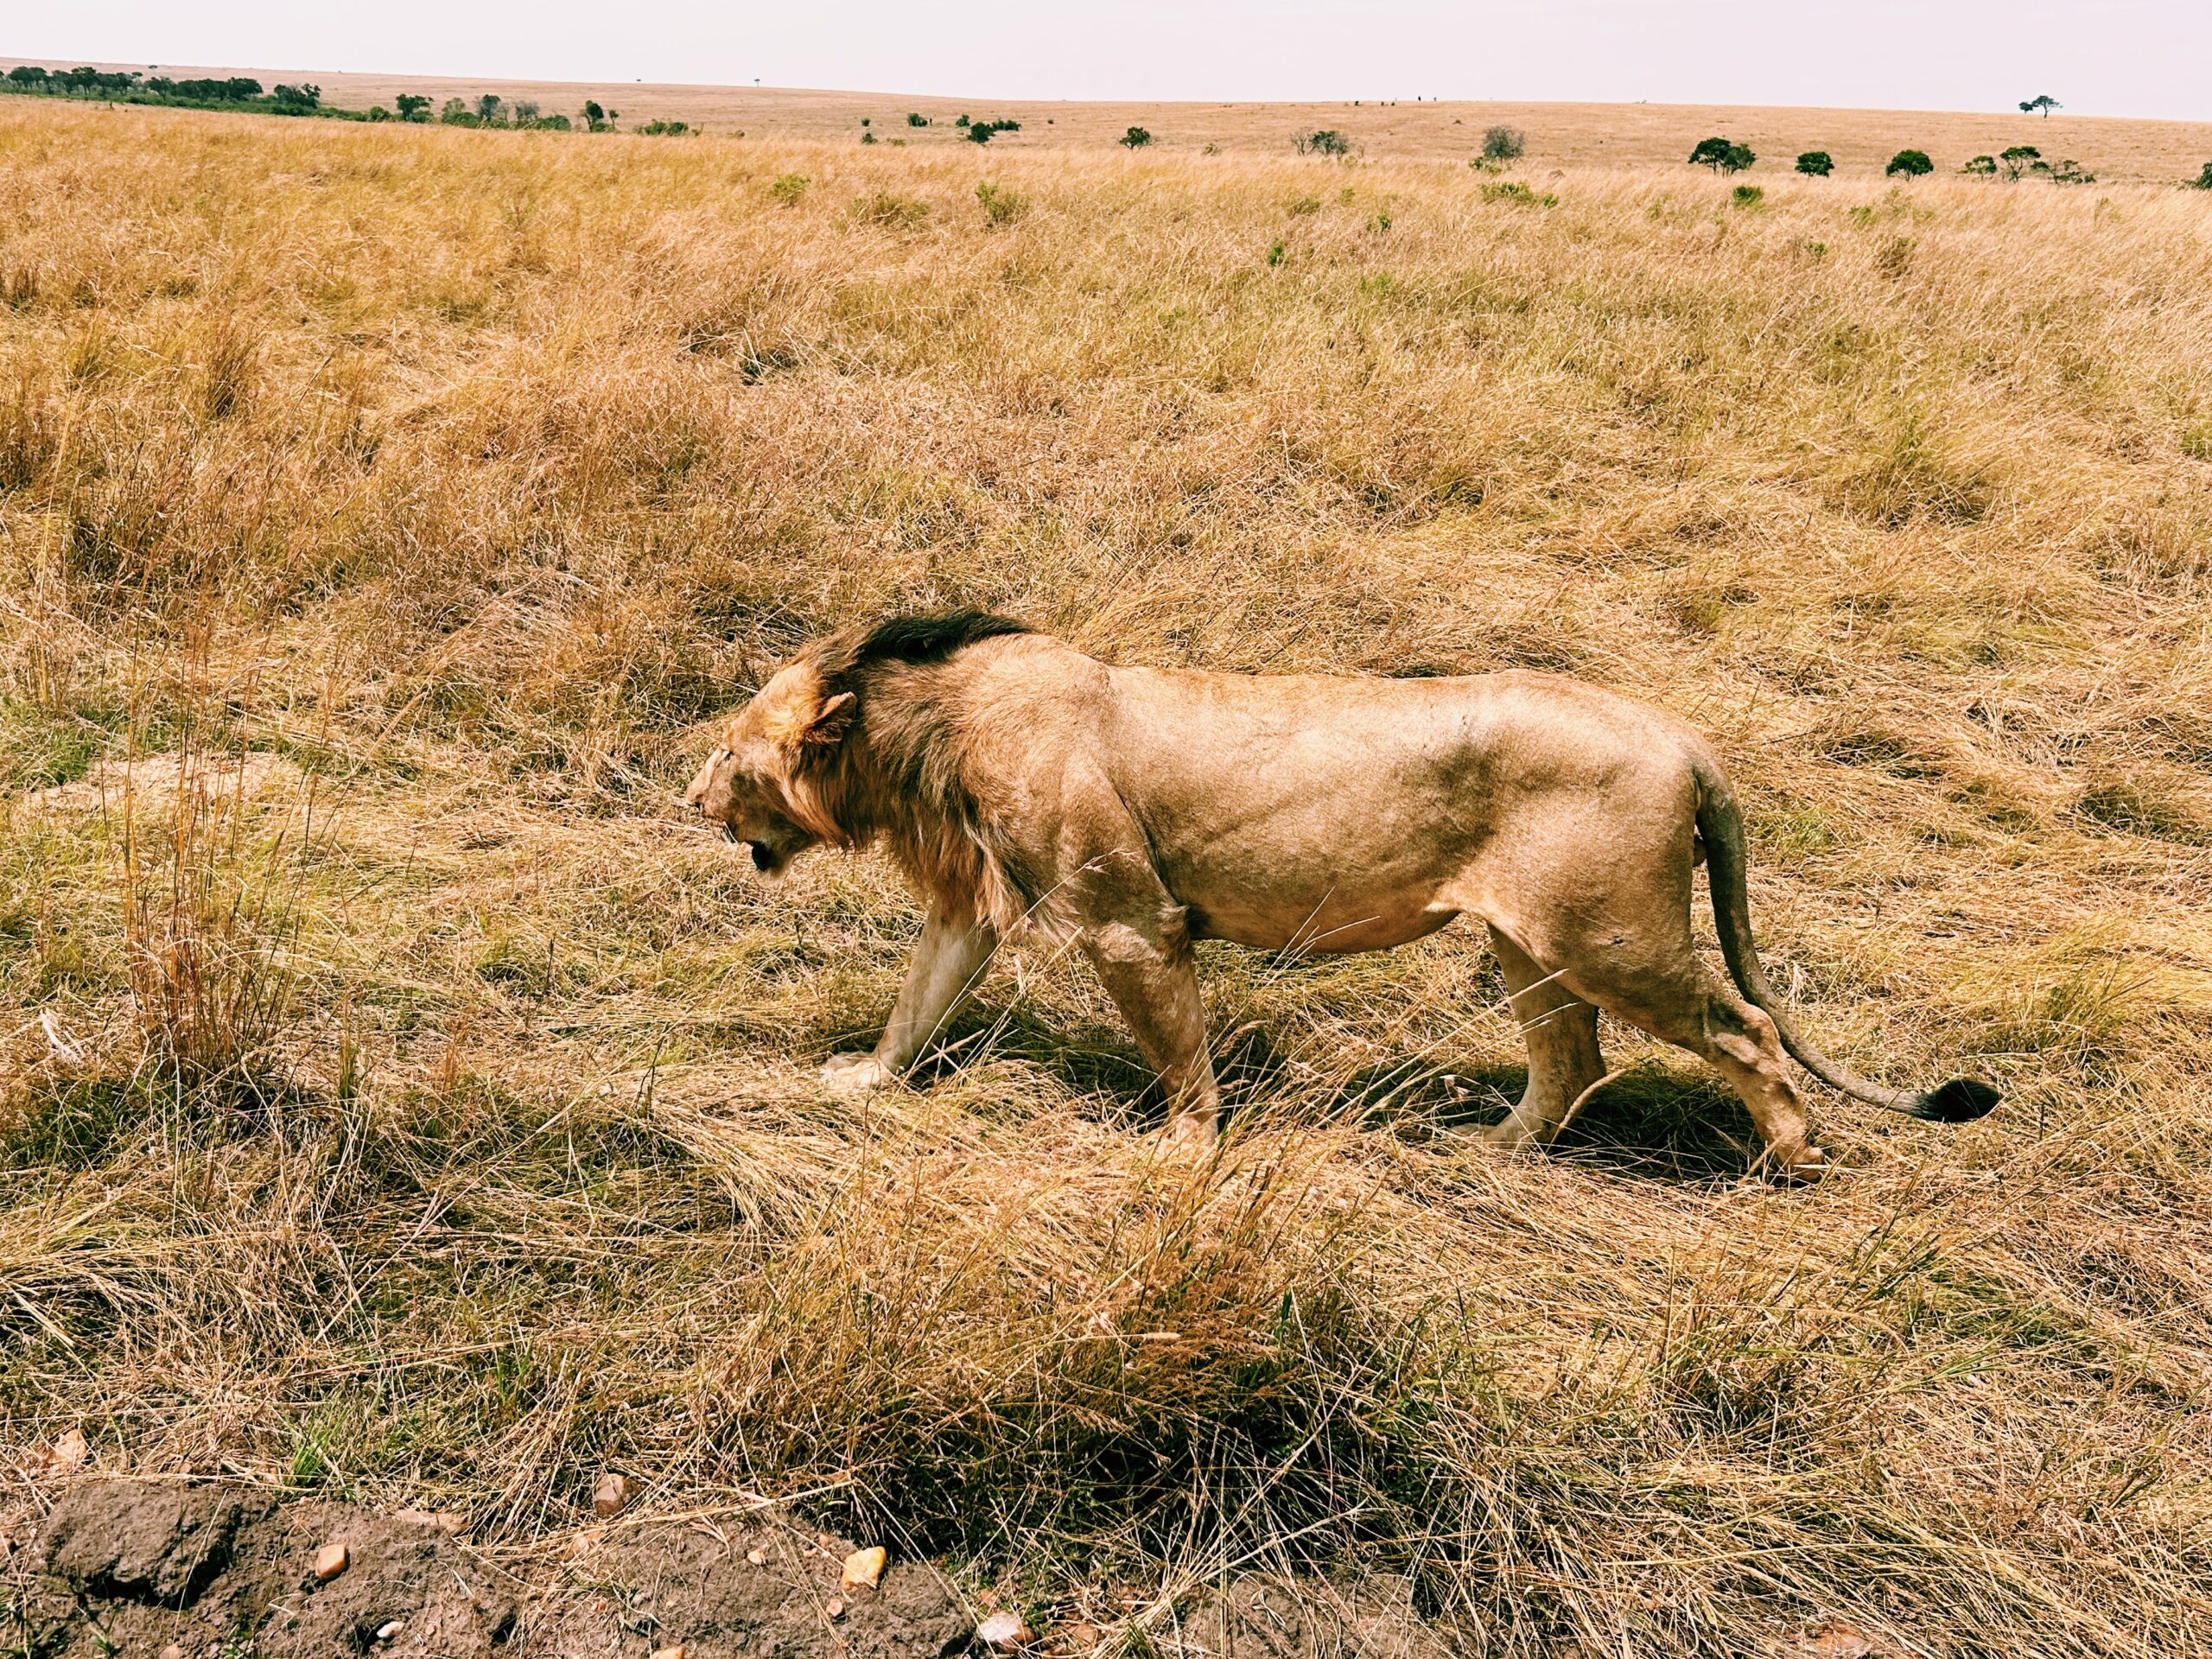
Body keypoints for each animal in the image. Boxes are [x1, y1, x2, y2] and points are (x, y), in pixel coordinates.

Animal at [685, 610, 2008, 1167]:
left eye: (734, 752)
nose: (691, 794)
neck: (931, 734)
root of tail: (1686, 737)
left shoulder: (1130, 922)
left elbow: (1179, 1052)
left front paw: (1184, 1151)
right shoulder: (974, 903)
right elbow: (918, 1001)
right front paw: (866, 1081)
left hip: (1614, 938)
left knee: (1749, 1033)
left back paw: (1789, 1157)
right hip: (1529, 944)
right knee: (1572, 1061)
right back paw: (1490, 1149)